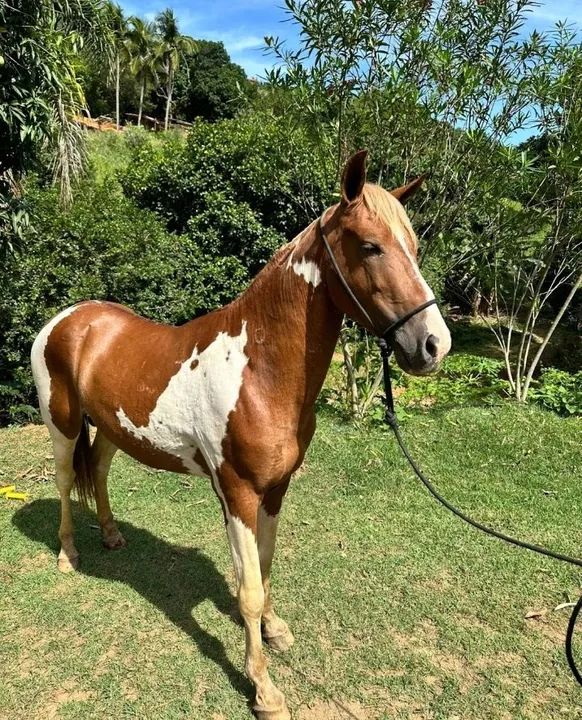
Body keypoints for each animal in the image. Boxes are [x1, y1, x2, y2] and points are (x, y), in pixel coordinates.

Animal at [31, 150, 451, 719]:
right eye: (370, 246)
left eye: (415, 247)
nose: (434, 344)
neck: (259, 372)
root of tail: (67, 319)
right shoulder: (238, 494)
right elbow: (248, 586)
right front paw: (264, 689)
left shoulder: (274, 490)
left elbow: (266, 567)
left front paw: (274, 630)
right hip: (62, 424)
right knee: (62, 481)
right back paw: (68, 555)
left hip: (115, 429)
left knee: (95, 470)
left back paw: (113, 536)